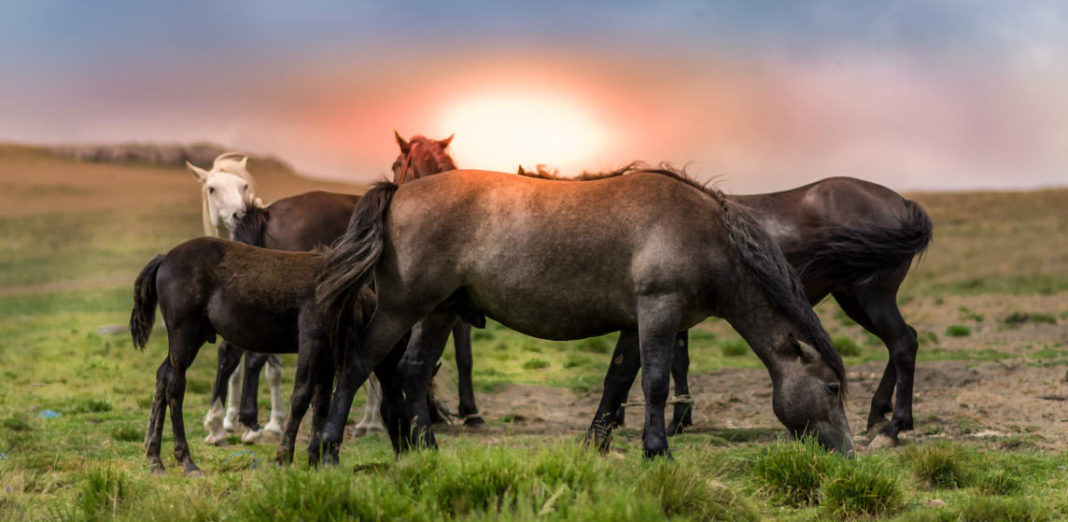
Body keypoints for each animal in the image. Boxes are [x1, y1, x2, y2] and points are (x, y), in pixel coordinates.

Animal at [128, 238, 384, 473]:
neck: (341, 293)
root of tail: (165, 258)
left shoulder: (328, 355)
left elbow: (321, 403)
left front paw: (316, 460)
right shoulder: (312, 343)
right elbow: (301, 397)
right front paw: (285, 456)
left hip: (194, 339)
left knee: (162, 377)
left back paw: (154, 458)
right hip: (184, 335)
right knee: (175, 386)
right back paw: (187, 461)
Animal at [184, 152, 286, 441]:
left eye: (244, 187)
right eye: (211, 188)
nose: (239, 214)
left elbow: (272, 371)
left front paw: (273, 424)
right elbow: (235, 371)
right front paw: (228, 420)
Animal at [311, 165, 854, 459]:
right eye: (831, 388)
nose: (848, 454)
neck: (705, 235)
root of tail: (399, 191)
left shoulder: (637, 324)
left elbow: (618, 383)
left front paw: (598, 447)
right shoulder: (659, 312)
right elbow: (655, 384)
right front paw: (658, 451)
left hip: (439, 312)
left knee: (413, 370)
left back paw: (427, 450)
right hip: (403, 309)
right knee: (358, 364)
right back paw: (326, 450)